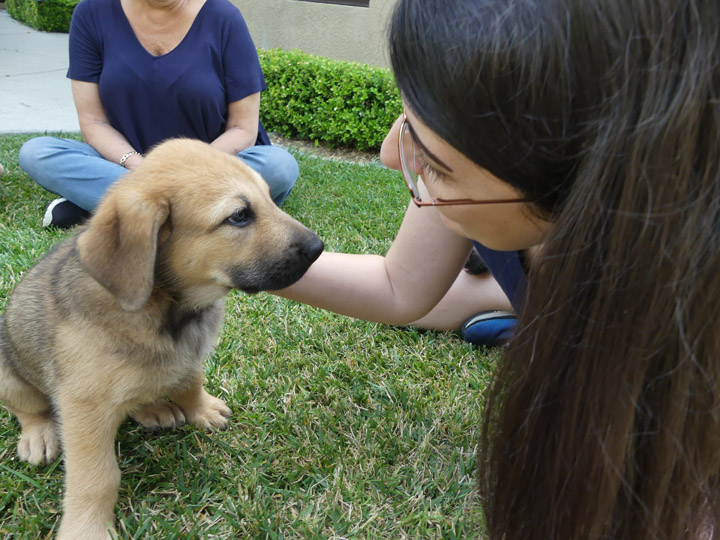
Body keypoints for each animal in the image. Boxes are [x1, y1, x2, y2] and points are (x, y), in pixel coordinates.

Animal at [0, 140, 324, 540]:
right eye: (239, 216)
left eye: (269, 198)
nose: (318, 247)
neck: (171, 311)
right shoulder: (83, 407)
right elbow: (96, 477)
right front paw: (86, 527)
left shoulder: (189, 355)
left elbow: (191, 380)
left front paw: (200, 408)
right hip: (9, 375)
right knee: (29, 409)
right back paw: (39, 435)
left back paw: (152, 408)